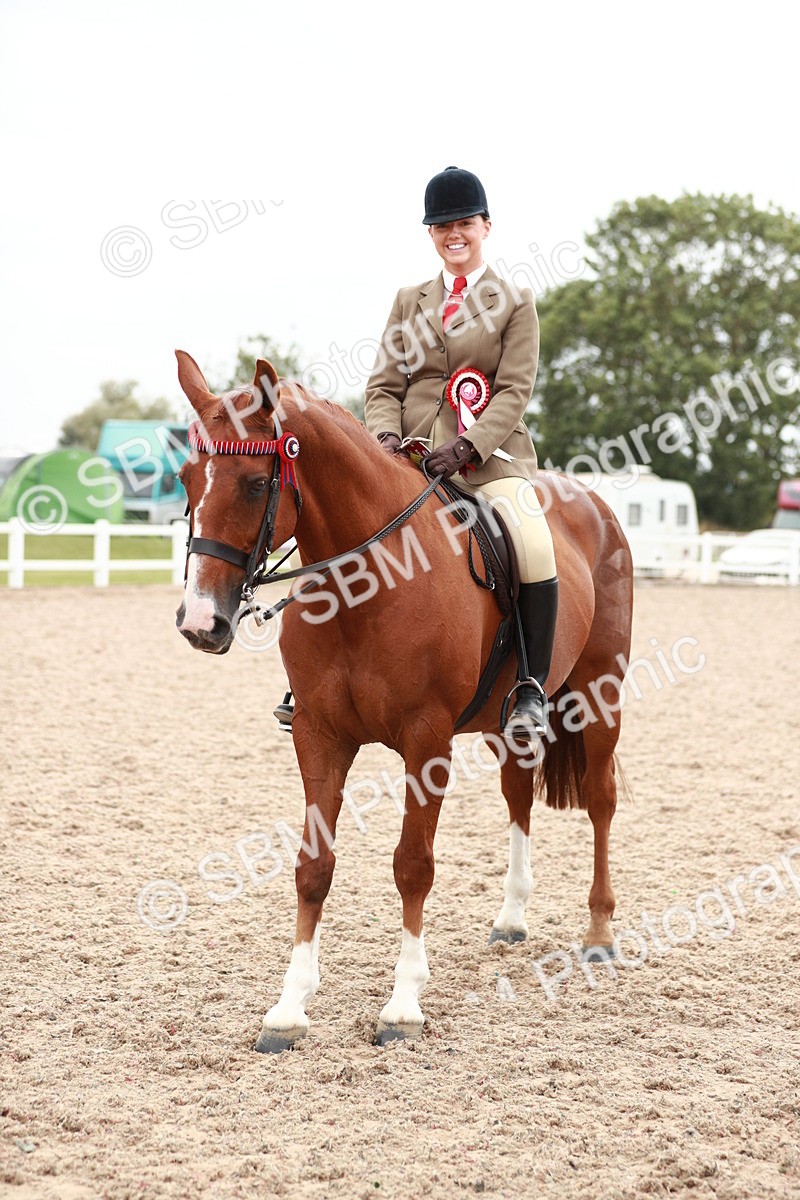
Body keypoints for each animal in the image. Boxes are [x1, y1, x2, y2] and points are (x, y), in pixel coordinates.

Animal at [174, 350, 634, 1053]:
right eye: (184, 477)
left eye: (254, 484)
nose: (201, 622)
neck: (365, 586)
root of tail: (593, 503)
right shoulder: (319, 734)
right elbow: (313, 865)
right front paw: (289, 1008)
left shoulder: (427, 740)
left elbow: (413, 865)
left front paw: (402, 1005)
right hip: (506, 721)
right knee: (518, 795)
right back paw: (511, 917)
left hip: (599, 692)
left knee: (601, 799)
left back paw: (601, 933)